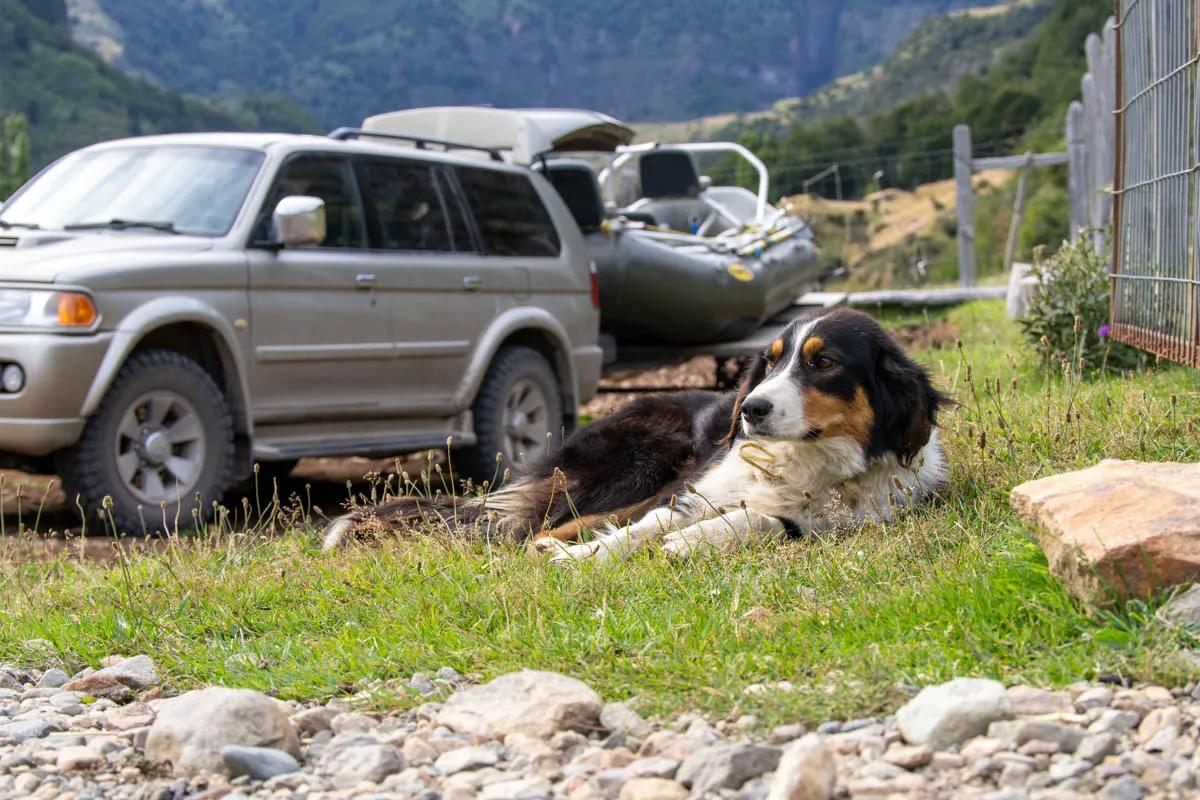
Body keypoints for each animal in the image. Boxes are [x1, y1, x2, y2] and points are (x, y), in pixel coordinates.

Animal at [319, 309, 945, 563]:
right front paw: (586, 557)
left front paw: (695, 542)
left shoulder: (817, 523)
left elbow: (762, 520)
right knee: (537, 526)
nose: (751, 410)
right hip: (642, 459)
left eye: (824, 363)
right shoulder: (688, 488)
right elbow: (642, 527)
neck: (805, 460)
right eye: (769, 363)